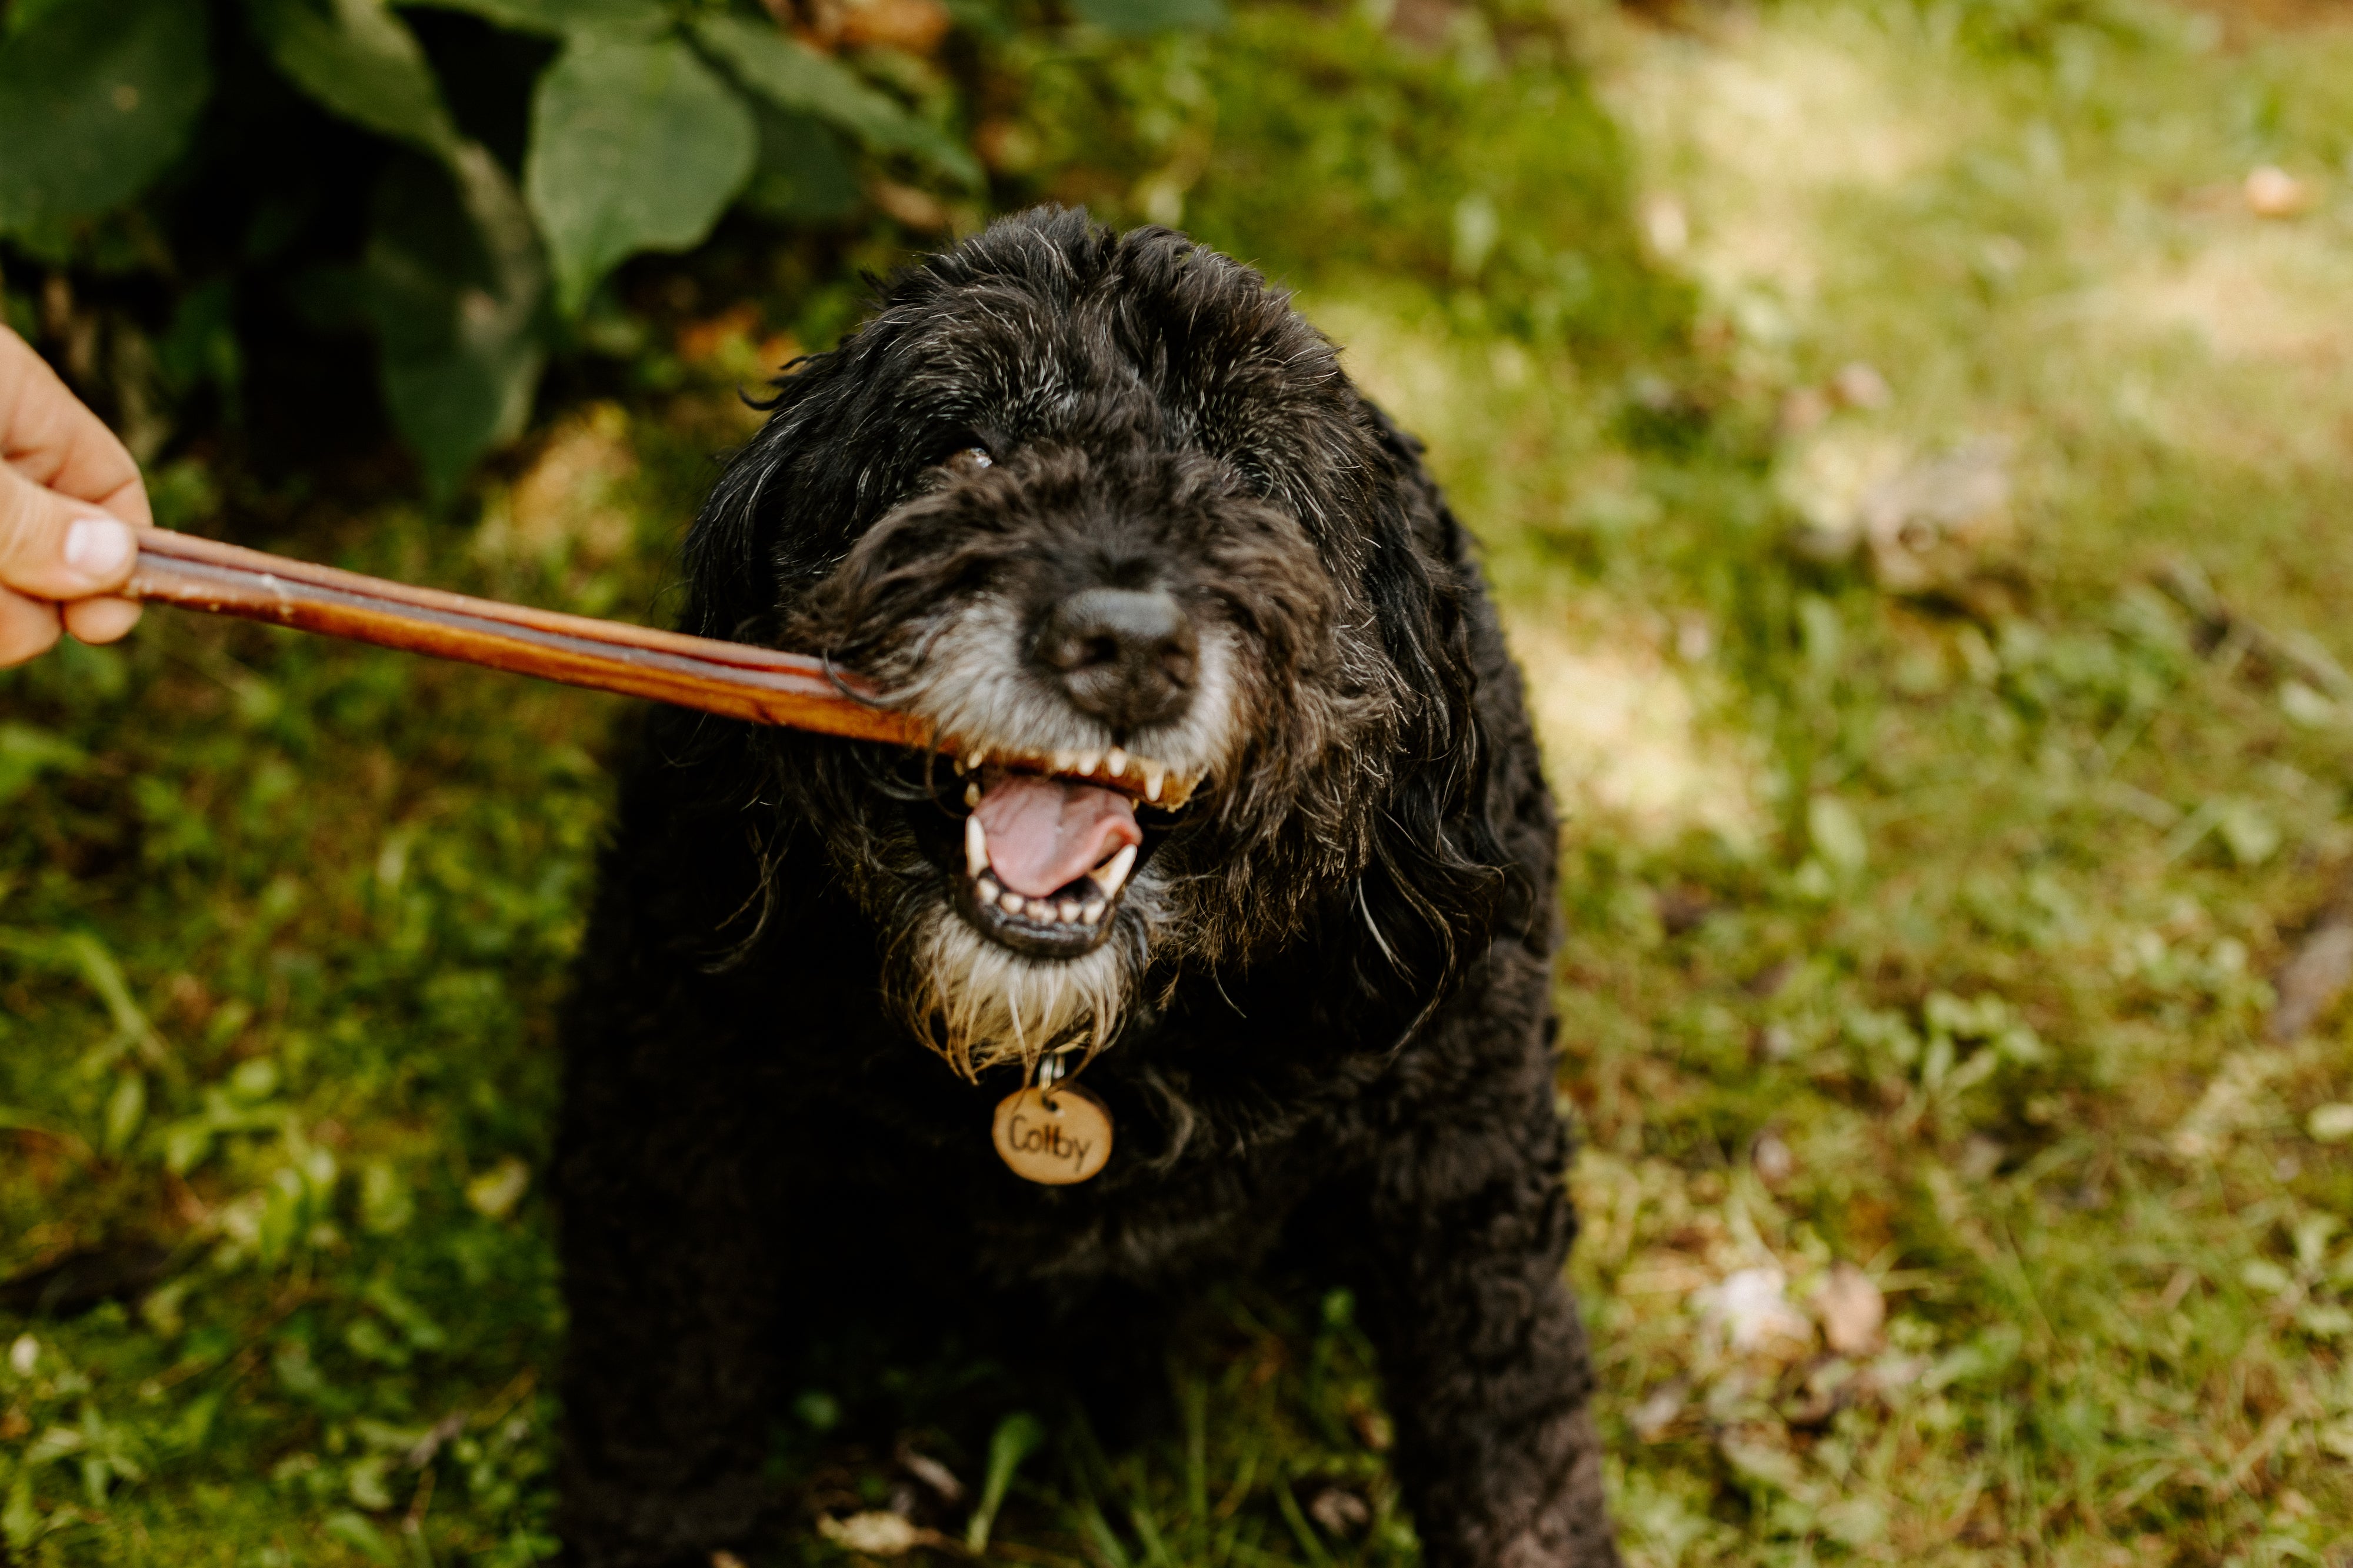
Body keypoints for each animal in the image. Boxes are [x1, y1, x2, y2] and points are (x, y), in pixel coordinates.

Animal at [551, 211, 1619, 1563]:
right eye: (962, 449)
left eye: (1253, 486)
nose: (1121, 646)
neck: (1082, 1047)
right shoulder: (674, 1085)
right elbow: (668, 1367)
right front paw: (667, 1517)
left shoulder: (1468, 1149)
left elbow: (1513, 1416)